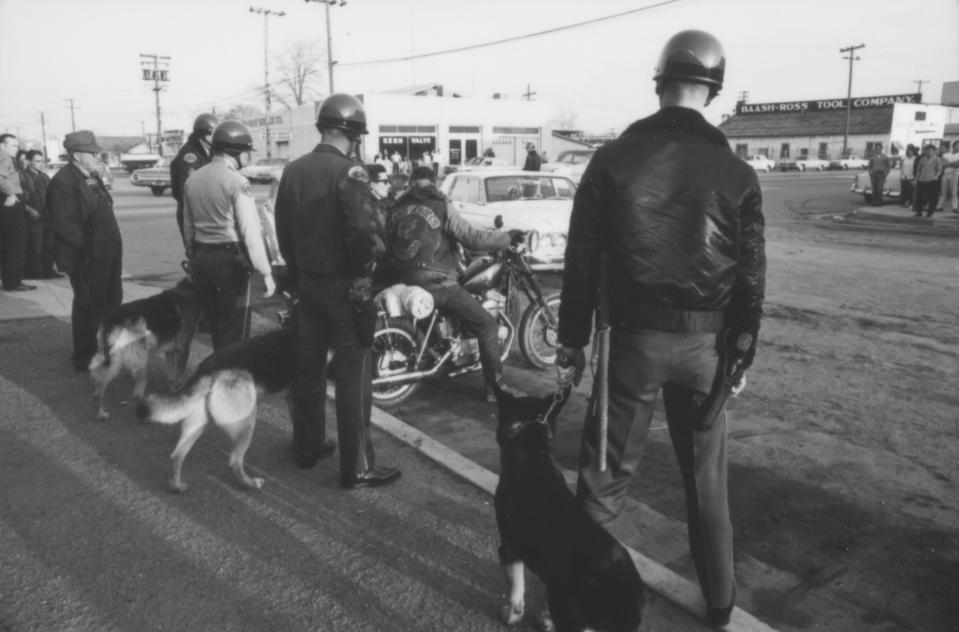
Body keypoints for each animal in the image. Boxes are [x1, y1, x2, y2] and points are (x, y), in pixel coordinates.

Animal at [91, 280, 202, 420]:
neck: (188, 290)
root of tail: (112, 320)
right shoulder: (183, 349)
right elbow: (179, 374)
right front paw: (178, 391)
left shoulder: (170, 352)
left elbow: (171, 373)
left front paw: (171, 388)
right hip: (138, 357)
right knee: (136, 383)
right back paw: (102, 412)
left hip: (105, 355)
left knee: (98, 375)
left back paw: (96, 394)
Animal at [135, 326, 298, 494]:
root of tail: (207, 369)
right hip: (247, 423)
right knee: (234, 462)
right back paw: (250, 484)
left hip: (196, 426)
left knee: (176, 456)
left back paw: (177, 487)